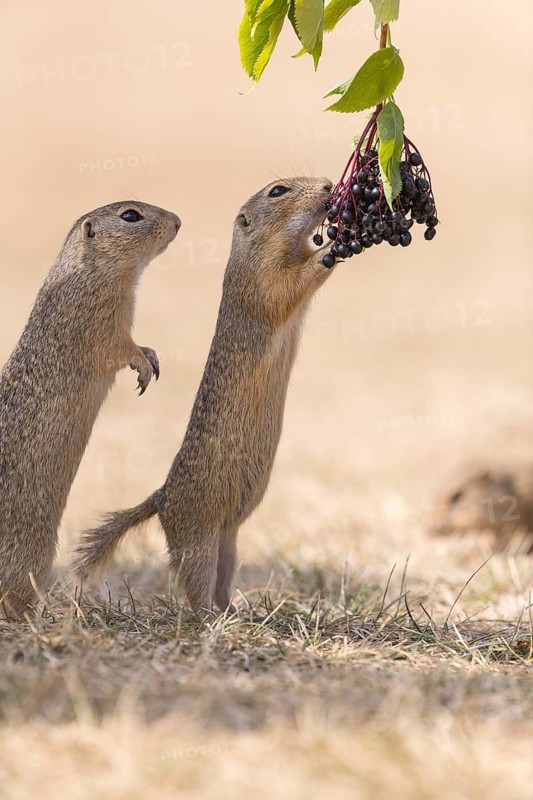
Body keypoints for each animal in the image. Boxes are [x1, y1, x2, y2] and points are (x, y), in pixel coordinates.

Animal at [0, 201, 180, 616]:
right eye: (130, 215)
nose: (178, 221)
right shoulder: (102, 326)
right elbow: (123, 348)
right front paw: (143, 365)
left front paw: (152, 357)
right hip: (33, 555)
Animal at [73, 177, 334, 613]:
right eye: (278, 191)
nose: (331, 186)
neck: (259, 249)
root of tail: (161, 498)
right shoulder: (264, 283)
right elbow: (292, 285)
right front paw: (335, 245)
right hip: (199, 541)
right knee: (195, 588)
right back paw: (212, 618)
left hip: (229, 544)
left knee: (220, 582)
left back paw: (234, 612)